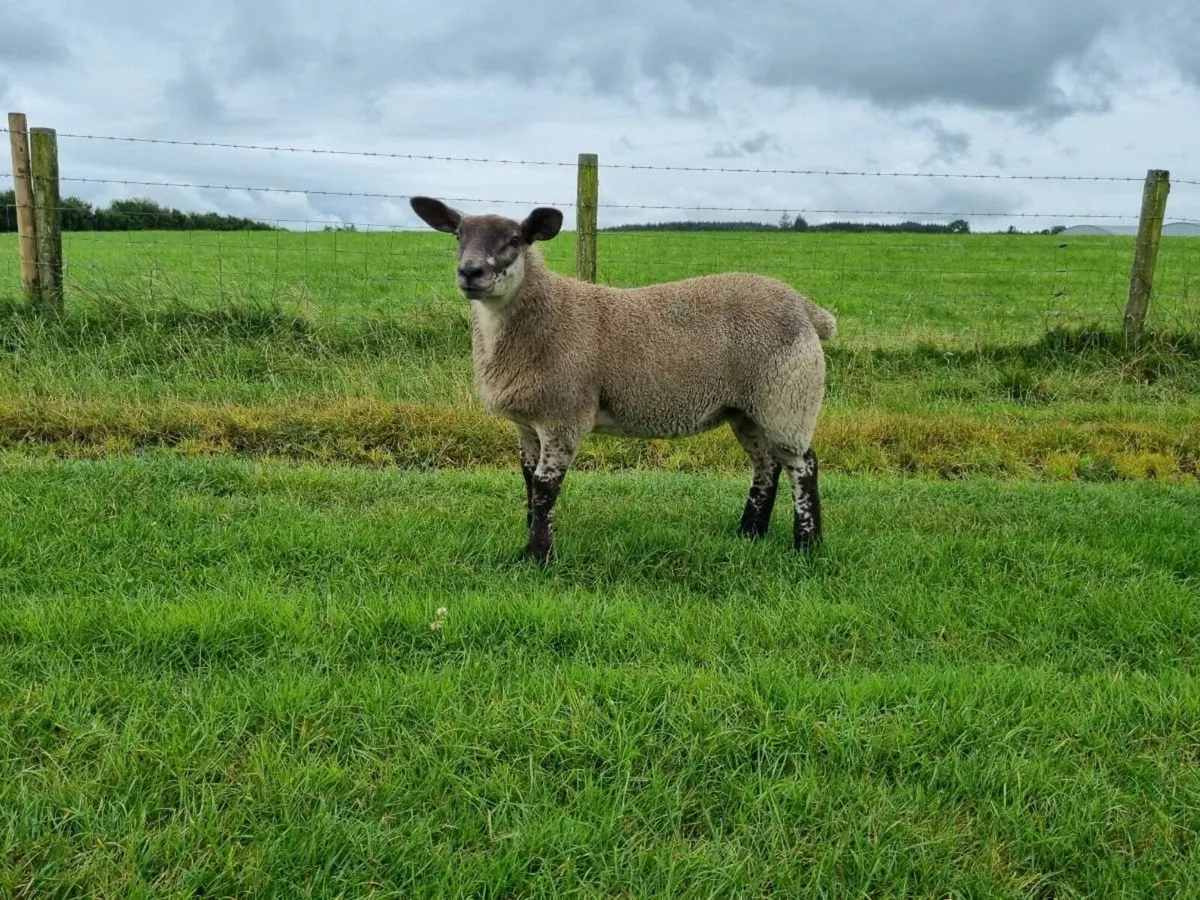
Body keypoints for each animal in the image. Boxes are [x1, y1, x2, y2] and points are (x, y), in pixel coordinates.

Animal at [409, 195, 837, 566]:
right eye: (458, 235)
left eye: (515, 240)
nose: (470, 272)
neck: (547, 314)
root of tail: (807, 309)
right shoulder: (527, 423)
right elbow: (529, 481)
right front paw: (530, 541)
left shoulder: (564, 415)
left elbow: (546, 488)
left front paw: (536, 558)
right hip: (747, 408)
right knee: (766, 465)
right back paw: (750, 532)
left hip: (787, 397)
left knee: (803, 465)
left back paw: (807, 545)